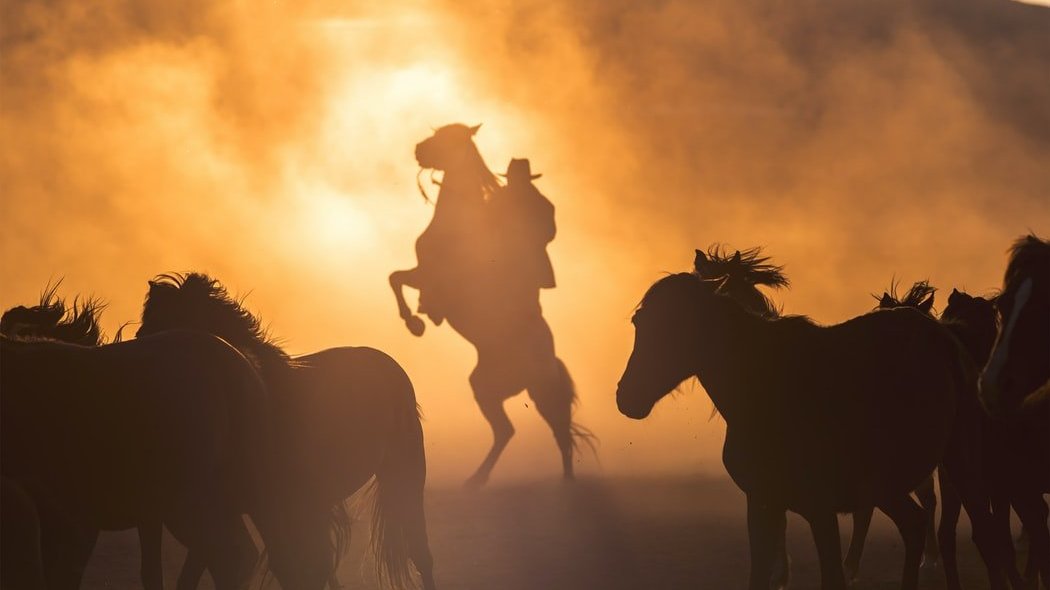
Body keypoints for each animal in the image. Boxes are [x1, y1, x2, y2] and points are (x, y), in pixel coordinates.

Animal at [390, 121, 596, 485]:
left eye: (448, 138)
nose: (418, 150)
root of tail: (549, 356)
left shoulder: (433, 277)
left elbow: (396, 280)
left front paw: (414, 322)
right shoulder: (421, 273)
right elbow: (395, 277)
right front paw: (416, 319)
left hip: (519, 389)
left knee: (539, 430)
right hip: (493, 387)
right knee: (516, 431)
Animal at [617, 253, 1020, 587]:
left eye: (679, 326)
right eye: (639, 321)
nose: (627, 398)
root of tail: (947, 336)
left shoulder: (820, 511)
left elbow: (832, 577)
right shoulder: (763, 503)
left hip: (958, 463)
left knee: (983, 536)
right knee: (916, 526)